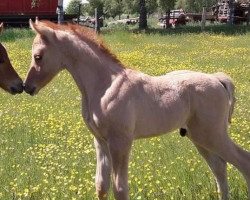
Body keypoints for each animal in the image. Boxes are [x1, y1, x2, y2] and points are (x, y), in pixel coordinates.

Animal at [23, 19, 250, 200]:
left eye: (38, 56)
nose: (28, 87)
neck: (105, 84)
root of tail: (217, 79)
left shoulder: (120, 141)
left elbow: (120, 189)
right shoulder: (100, 141)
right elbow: (101, 186)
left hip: (212, 135)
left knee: (242, 161)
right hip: (200, 138)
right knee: (219, 167)